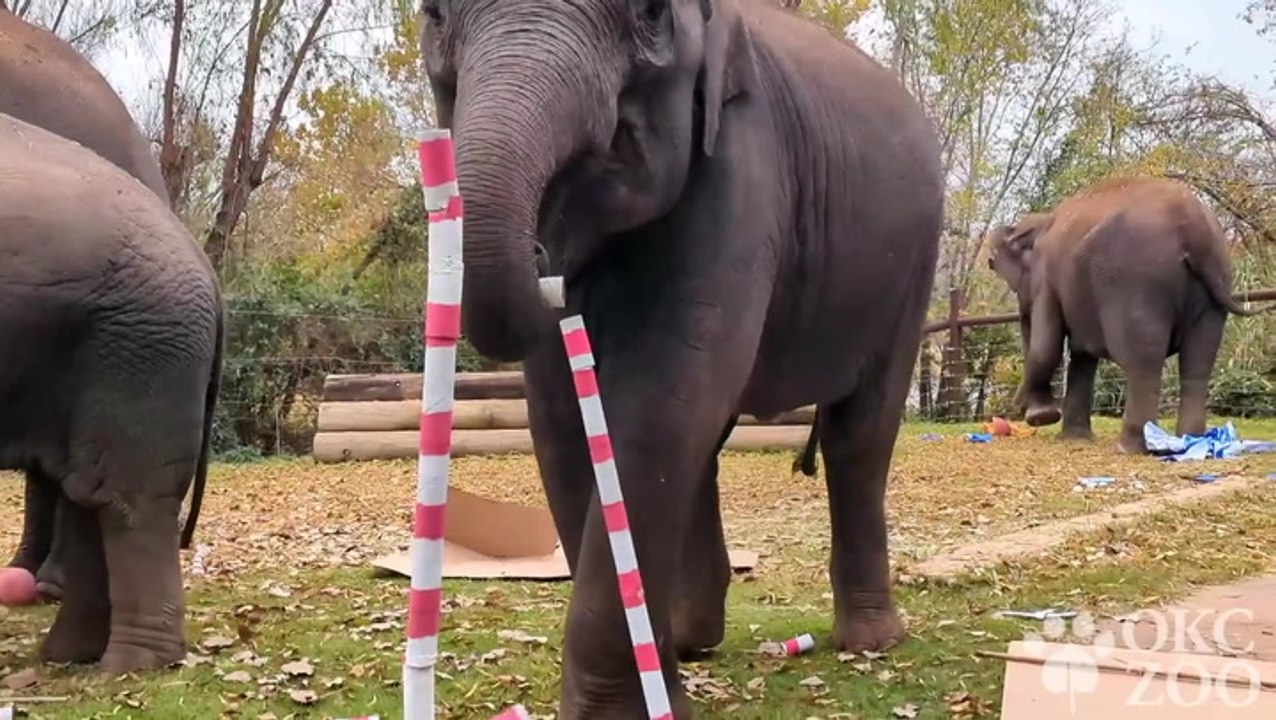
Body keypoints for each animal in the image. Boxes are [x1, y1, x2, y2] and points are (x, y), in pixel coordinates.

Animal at [420, 0, 943, 716]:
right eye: (434, 15)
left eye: (649, 15)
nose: (543, 259)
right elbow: (562, 419)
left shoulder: (743, 168)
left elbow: (656, 404)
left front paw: (624, 711)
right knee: (708, 445)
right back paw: (695, 641)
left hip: (909, 271)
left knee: (858, 432)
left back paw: (870, 642)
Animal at [986, 176, 1271, 454]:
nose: (1020, 410)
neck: (1043, 220)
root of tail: (1193, 226)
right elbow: (1082, 356)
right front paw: (1073, 439)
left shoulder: (1046, 280)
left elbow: (1047, 345)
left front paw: (1042, 417)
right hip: (1215, 279)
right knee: (1199, 358)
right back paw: (1190, 440)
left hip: (1136, 281)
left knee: (1142, 359)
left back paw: (1129, 448)